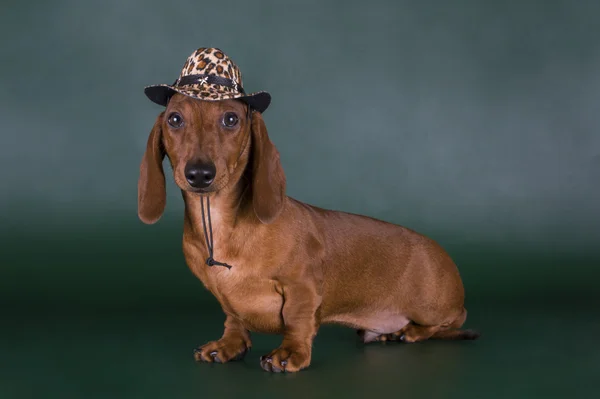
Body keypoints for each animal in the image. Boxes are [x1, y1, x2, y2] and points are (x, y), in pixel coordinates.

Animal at [137, 48, 478, 374]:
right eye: (175, 119)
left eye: (231, 119)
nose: (199, 174)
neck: (220, 223)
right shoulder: (225, 297)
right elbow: (233, 317)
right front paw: (228, 345)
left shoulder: (302, 286)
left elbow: (297, 320)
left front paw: (291, 354)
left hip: (433, 306)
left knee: (450, 320)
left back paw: (410, 332)